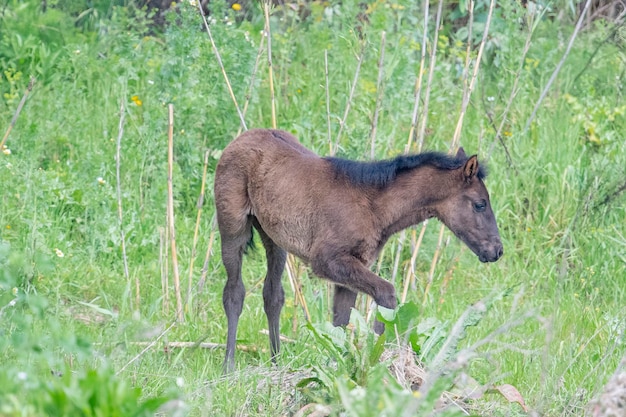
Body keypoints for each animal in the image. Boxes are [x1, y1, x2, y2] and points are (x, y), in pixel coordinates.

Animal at [214, 127, 502, 370]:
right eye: (480, 204)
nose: (497, 250)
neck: (373, 206)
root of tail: (240, 139)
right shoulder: (327, 261)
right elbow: (386, 295)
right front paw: (380, 358)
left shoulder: (351, 269)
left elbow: (340, 323)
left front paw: (340, 370)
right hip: (233, 227)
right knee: (234, 292)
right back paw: (229, 366)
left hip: (273, 239)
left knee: (273, 295)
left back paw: (276, 362)